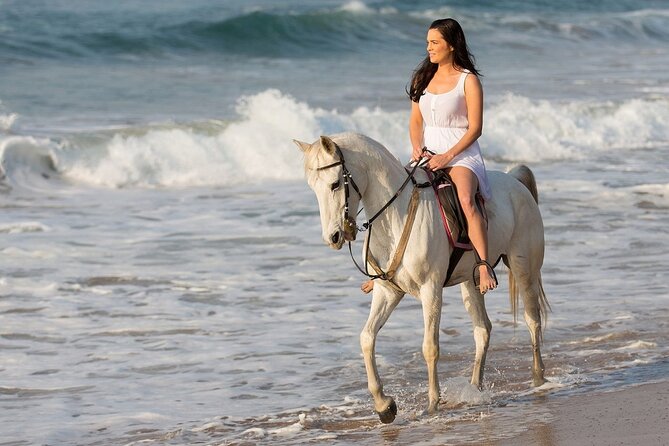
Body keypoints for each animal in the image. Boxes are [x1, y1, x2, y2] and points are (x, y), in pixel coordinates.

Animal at [294, 132, 549, 424]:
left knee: (532, 320)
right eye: (313, 188)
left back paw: (538, 379)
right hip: (470, 282)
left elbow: (430, 347)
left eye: (335, 184)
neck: (396, 215)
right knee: (483, 329)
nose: (333, 237)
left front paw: (432, 405)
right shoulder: (388, 292)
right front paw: (384, 405)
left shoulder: (431, 290)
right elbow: (367, 338)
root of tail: (515, 182)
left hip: (524, 269)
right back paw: (475, 388)